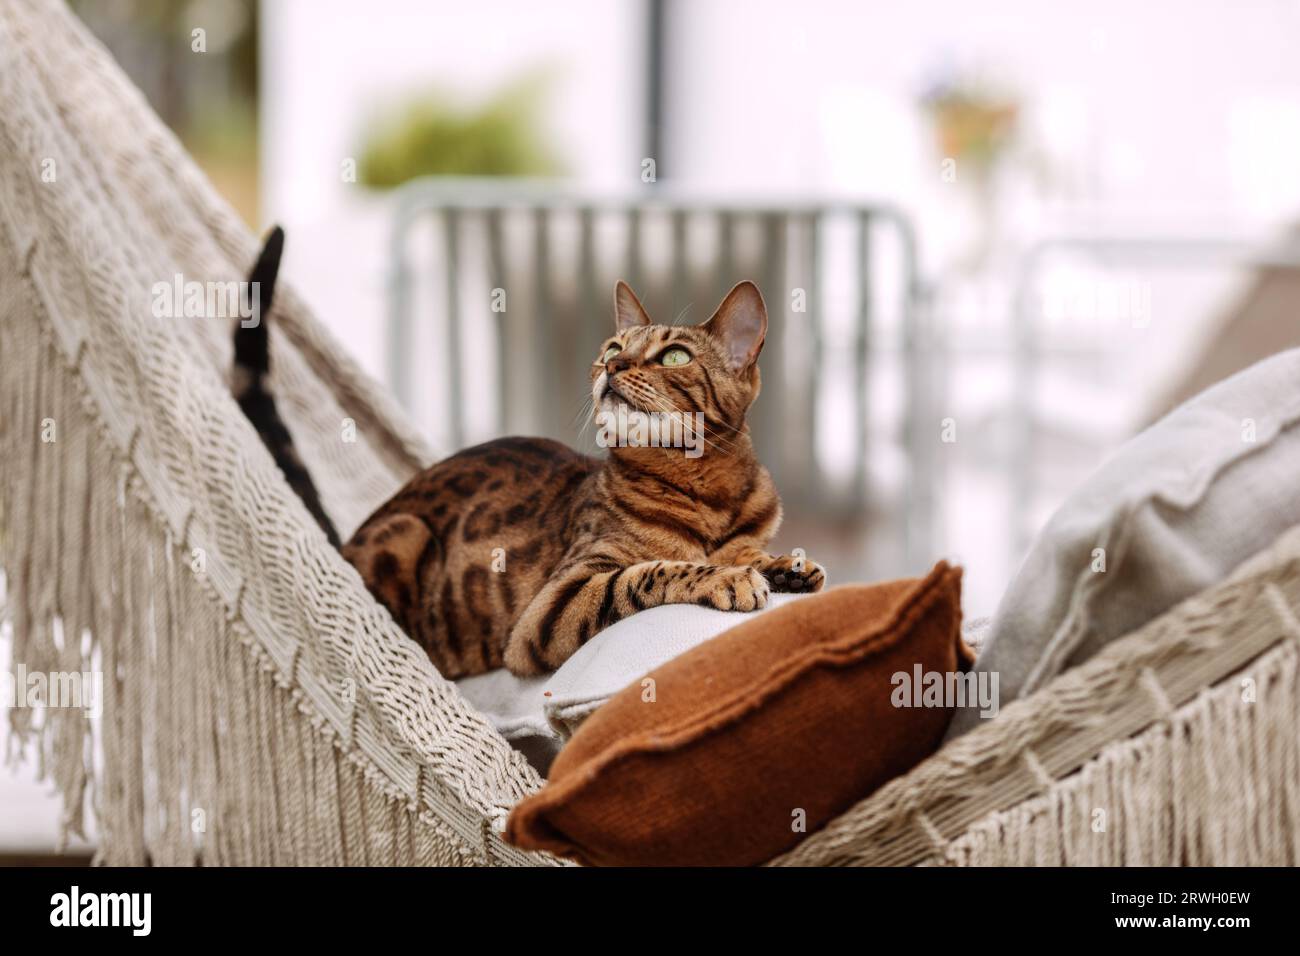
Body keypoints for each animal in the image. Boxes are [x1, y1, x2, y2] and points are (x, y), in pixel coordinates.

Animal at [233, 227, 821, 676]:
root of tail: (346, 541)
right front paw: (726, 577)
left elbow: (747, 552)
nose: (612, 365)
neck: (708, 491)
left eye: (674, 356)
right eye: (612, 347)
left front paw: (783, 566)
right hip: (406, 532)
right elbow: (654, 571)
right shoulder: (554, 605)